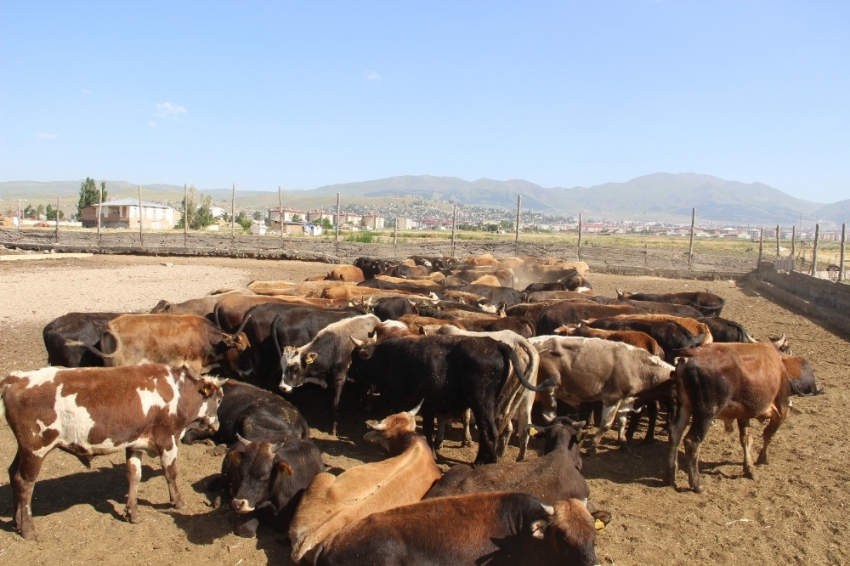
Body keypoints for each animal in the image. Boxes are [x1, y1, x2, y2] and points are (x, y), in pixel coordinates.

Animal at [0, 364, 222, 540]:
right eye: (219, 401)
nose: (217, 425)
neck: (177, 391)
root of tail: (15, 378)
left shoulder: (135, 443)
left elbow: (134, 476)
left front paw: (133, 513)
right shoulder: (167, 439)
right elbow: (171, 473)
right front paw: (177, 501)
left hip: (24, 449)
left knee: (14, 474)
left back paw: (16, 521)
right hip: (35, 449)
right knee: (26, 484)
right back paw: (28, 529)